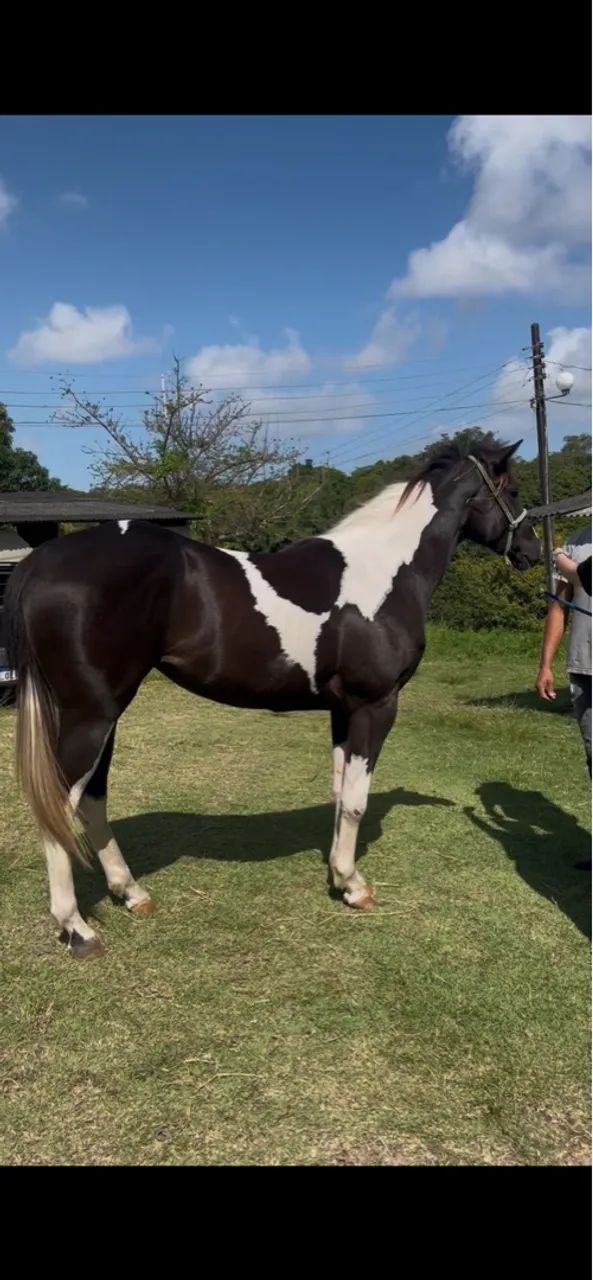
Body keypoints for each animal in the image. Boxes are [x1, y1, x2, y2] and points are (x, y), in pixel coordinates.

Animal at [5, 439, 540, 958]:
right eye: (512, 490)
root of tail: (40, 561)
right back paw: (77, 929)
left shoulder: (342, 711)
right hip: (91, 716)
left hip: (105, 715)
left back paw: (131, 892)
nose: (532, 551)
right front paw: (355, 885)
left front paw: (338, 878)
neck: (385, 571)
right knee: (61, 805)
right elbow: (356, 802)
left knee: (92, 799)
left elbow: (338, 793)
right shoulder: (375, 705)